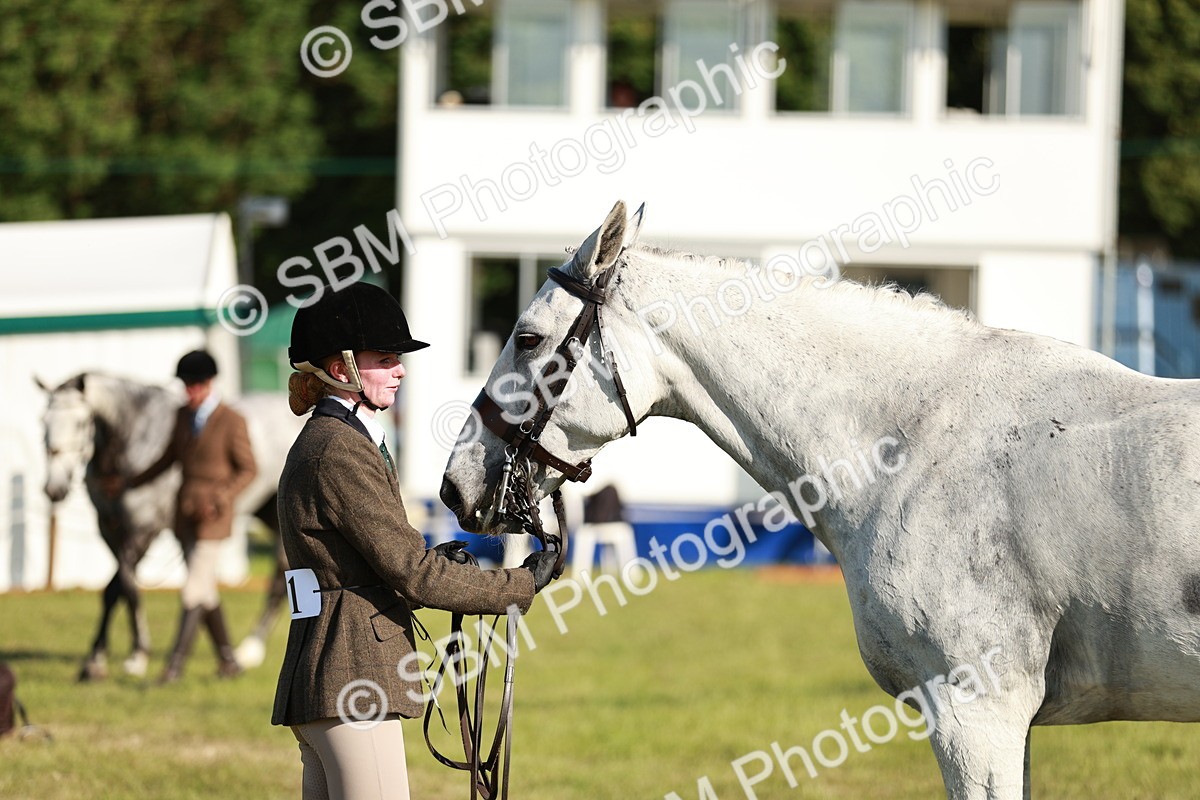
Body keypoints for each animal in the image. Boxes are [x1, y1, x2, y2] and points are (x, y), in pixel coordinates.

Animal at [38, 372, 302, 680]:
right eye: (43, 420)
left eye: (81, 422)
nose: (54, 489)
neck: (132, 438)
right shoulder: (109, 530)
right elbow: (112, 590)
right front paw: (95, 661)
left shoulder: (143, 530)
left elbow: (126, 586)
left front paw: (137, 655)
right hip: (269, 514)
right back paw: (243, 652)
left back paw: (250, 650)